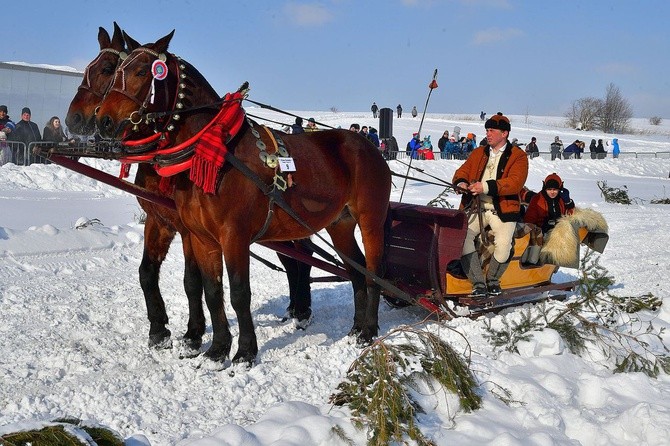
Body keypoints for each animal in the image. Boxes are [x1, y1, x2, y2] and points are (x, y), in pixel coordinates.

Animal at [92, 32, 392, 366]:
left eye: (142, 71)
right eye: (115, 71)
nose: (103, 121)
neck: (211, 152)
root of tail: (368, 146)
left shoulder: (233, 235)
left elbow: (238, 293)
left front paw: (245, 352)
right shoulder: (200, 236)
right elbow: (211, 291)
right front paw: (217, 349)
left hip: (370, 220)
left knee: (373, 272)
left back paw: (368, 331)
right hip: (339, 223)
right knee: (356, 270)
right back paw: (355, 328)